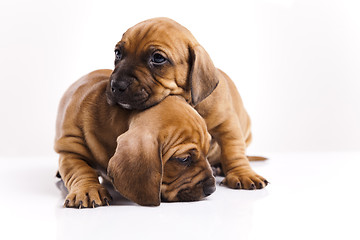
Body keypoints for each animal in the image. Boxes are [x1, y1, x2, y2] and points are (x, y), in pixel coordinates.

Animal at [54, 68, 215, 207]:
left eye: (207, 151)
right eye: (184, 159)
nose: (212, 189)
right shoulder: (70, 149)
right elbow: (80, 171)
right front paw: (88, 190)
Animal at [107, 17, 268, 189]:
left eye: (158, 58)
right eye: (118, 53)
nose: (116, 86)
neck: (190, 102)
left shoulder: (228, 125)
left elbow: (233, 151)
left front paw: (242, 174)